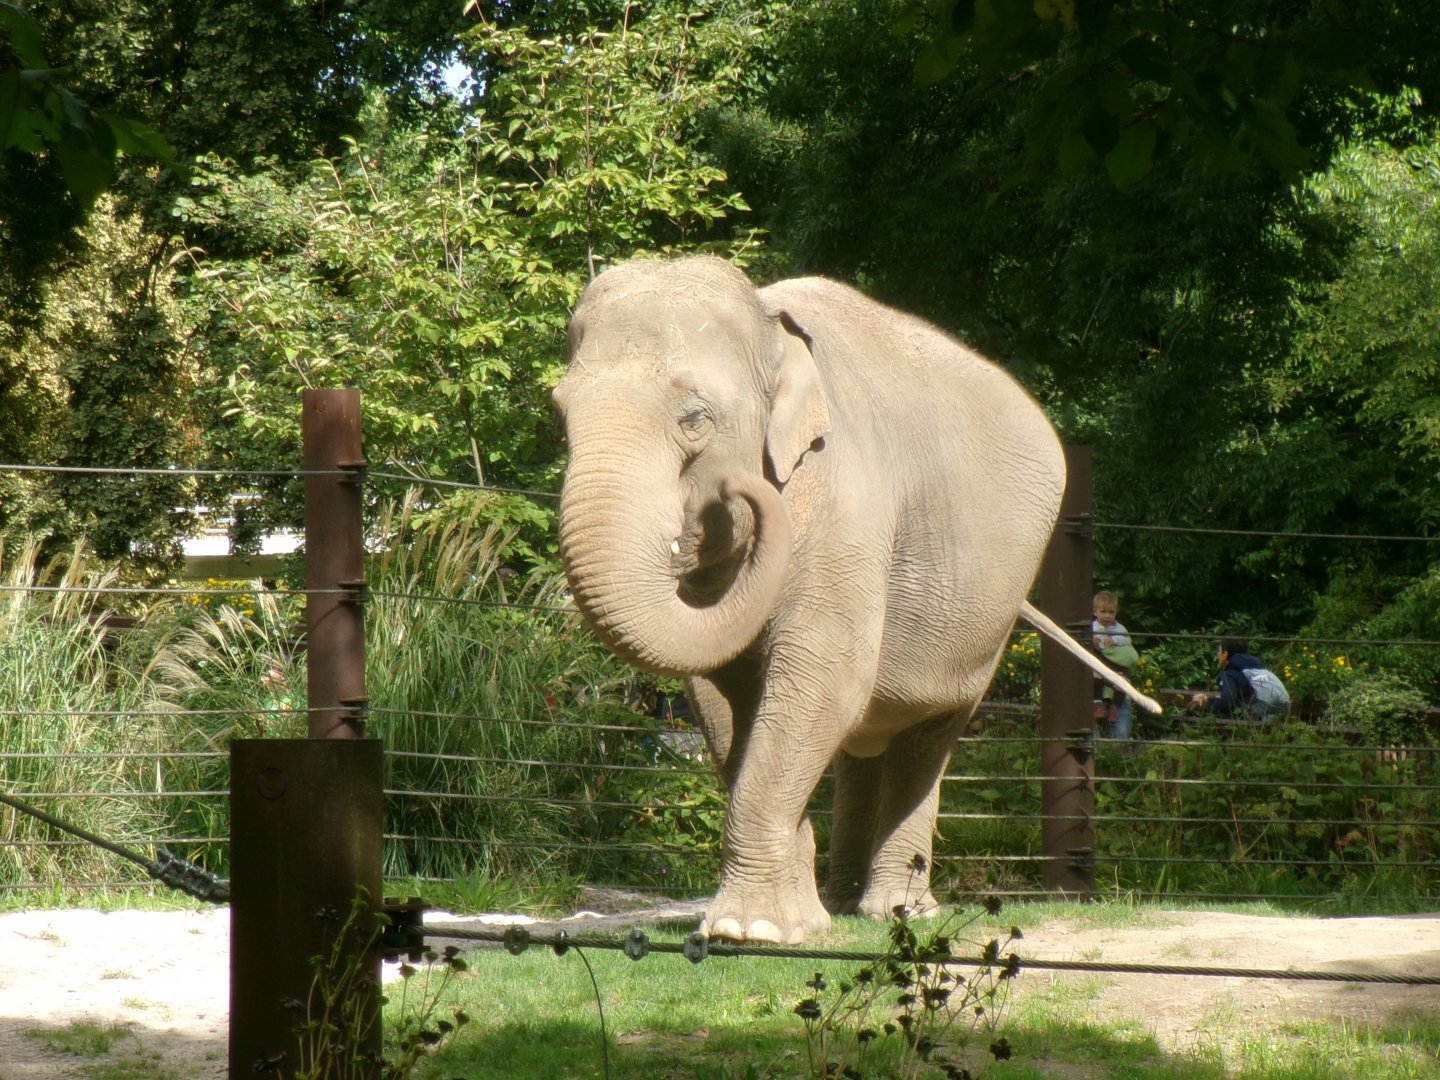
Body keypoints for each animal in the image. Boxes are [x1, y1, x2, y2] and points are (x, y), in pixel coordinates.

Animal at [553, 255, 1156, 944]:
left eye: (695, 418)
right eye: (559, 414)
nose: (734, 488)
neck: (770, 326)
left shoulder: (849, 503)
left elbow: (822, 676)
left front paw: (749, 930)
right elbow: (721, 698)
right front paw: (795, 923)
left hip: (989, 615)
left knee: (927, 736)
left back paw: (899, 910)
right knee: (861, 741)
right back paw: (842, 905)